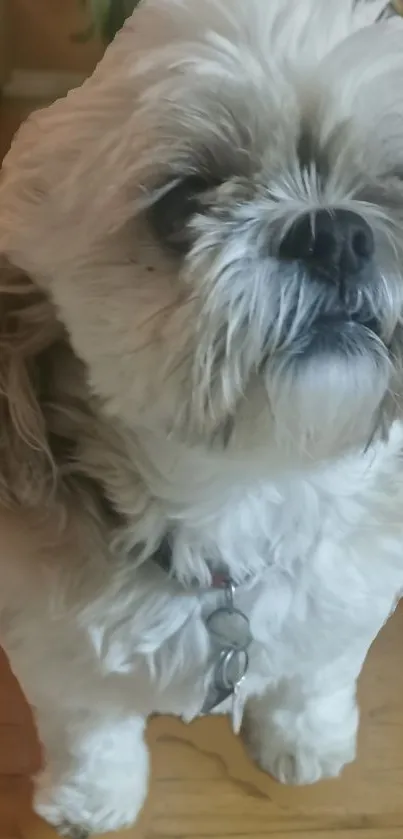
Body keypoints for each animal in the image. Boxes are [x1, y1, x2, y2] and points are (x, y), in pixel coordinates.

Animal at [0, 1, 403, 832]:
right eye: (181, 202)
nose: (335, 232)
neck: (242, 490)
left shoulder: (350, 598)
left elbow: (314, 674)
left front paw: (303, 741)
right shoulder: (57, 654)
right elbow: (93, 730)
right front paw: (94, 799)